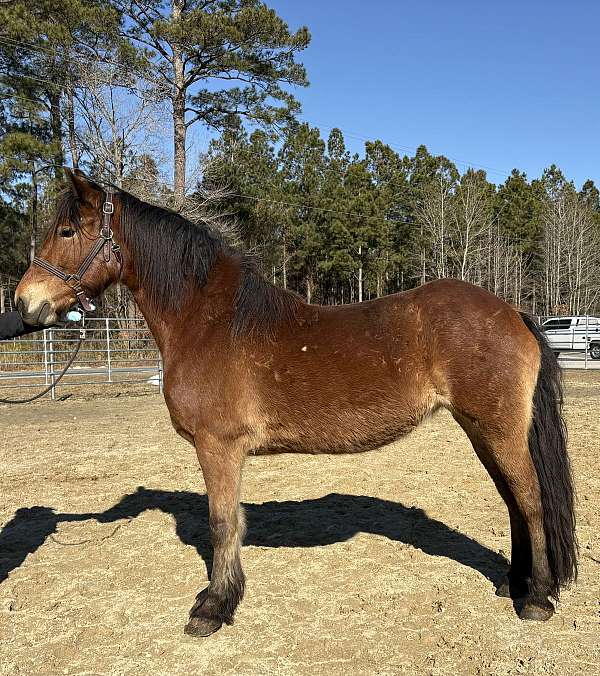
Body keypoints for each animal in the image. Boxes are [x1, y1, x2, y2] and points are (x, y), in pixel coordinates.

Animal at [14, 169, 577, 636]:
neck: (209, 322)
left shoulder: (218, 448)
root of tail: (513, 313)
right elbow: (232, 523)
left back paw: (536, 599)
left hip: (498, 429)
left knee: (530, 500)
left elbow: (223, 524)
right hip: (483, 430)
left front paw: (213, 608)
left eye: (67, 231)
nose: (24, 303)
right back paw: (513, 584)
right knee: (512, 501)